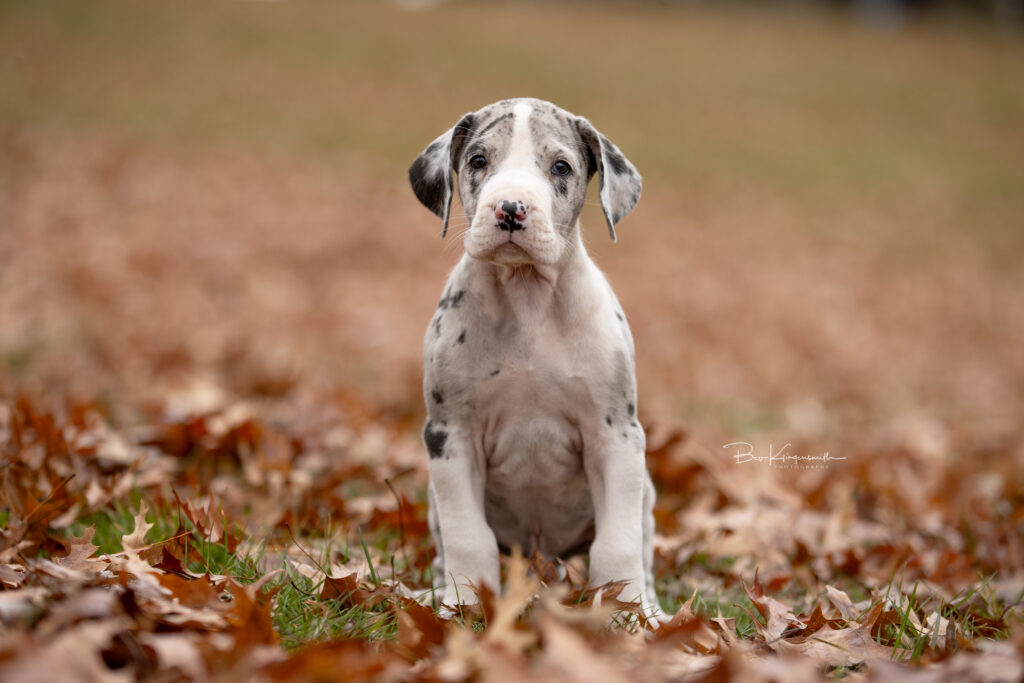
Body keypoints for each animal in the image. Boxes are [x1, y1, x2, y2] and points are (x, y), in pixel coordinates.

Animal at [407, 97, 655, 618]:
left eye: (561, 167)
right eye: (478, 160)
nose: (511, 208)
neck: (527, 300)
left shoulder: (616, 436)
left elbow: (617, 544)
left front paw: (628, 616)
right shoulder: (450, 436)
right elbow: (469, 538)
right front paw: (462, 609)